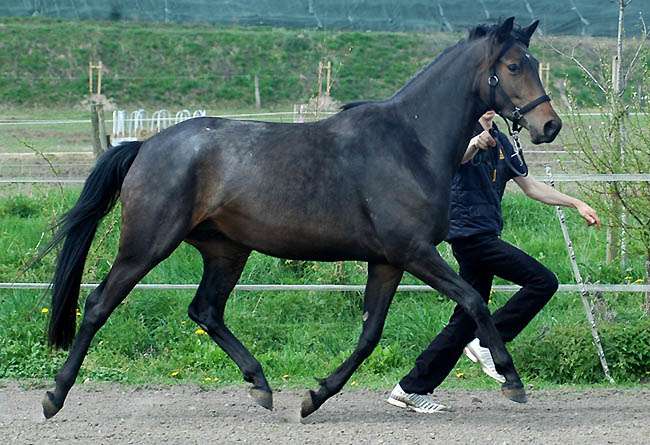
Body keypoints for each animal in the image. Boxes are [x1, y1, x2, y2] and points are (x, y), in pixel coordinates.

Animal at [40, 17, 560, 418]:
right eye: (513, 66)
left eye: (535, 64)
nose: (549, 125)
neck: (409, 143)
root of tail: (145, 146)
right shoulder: (414, 251)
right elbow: (474, 301)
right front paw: (511, 379)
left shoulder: (388, 260)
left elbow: (369, 335)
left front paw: (316, 396)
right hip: (147, 243)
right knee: (99, 305)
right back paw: (54, 395)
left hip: (225, 250)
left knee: (205, 310)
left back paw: (260, 385)